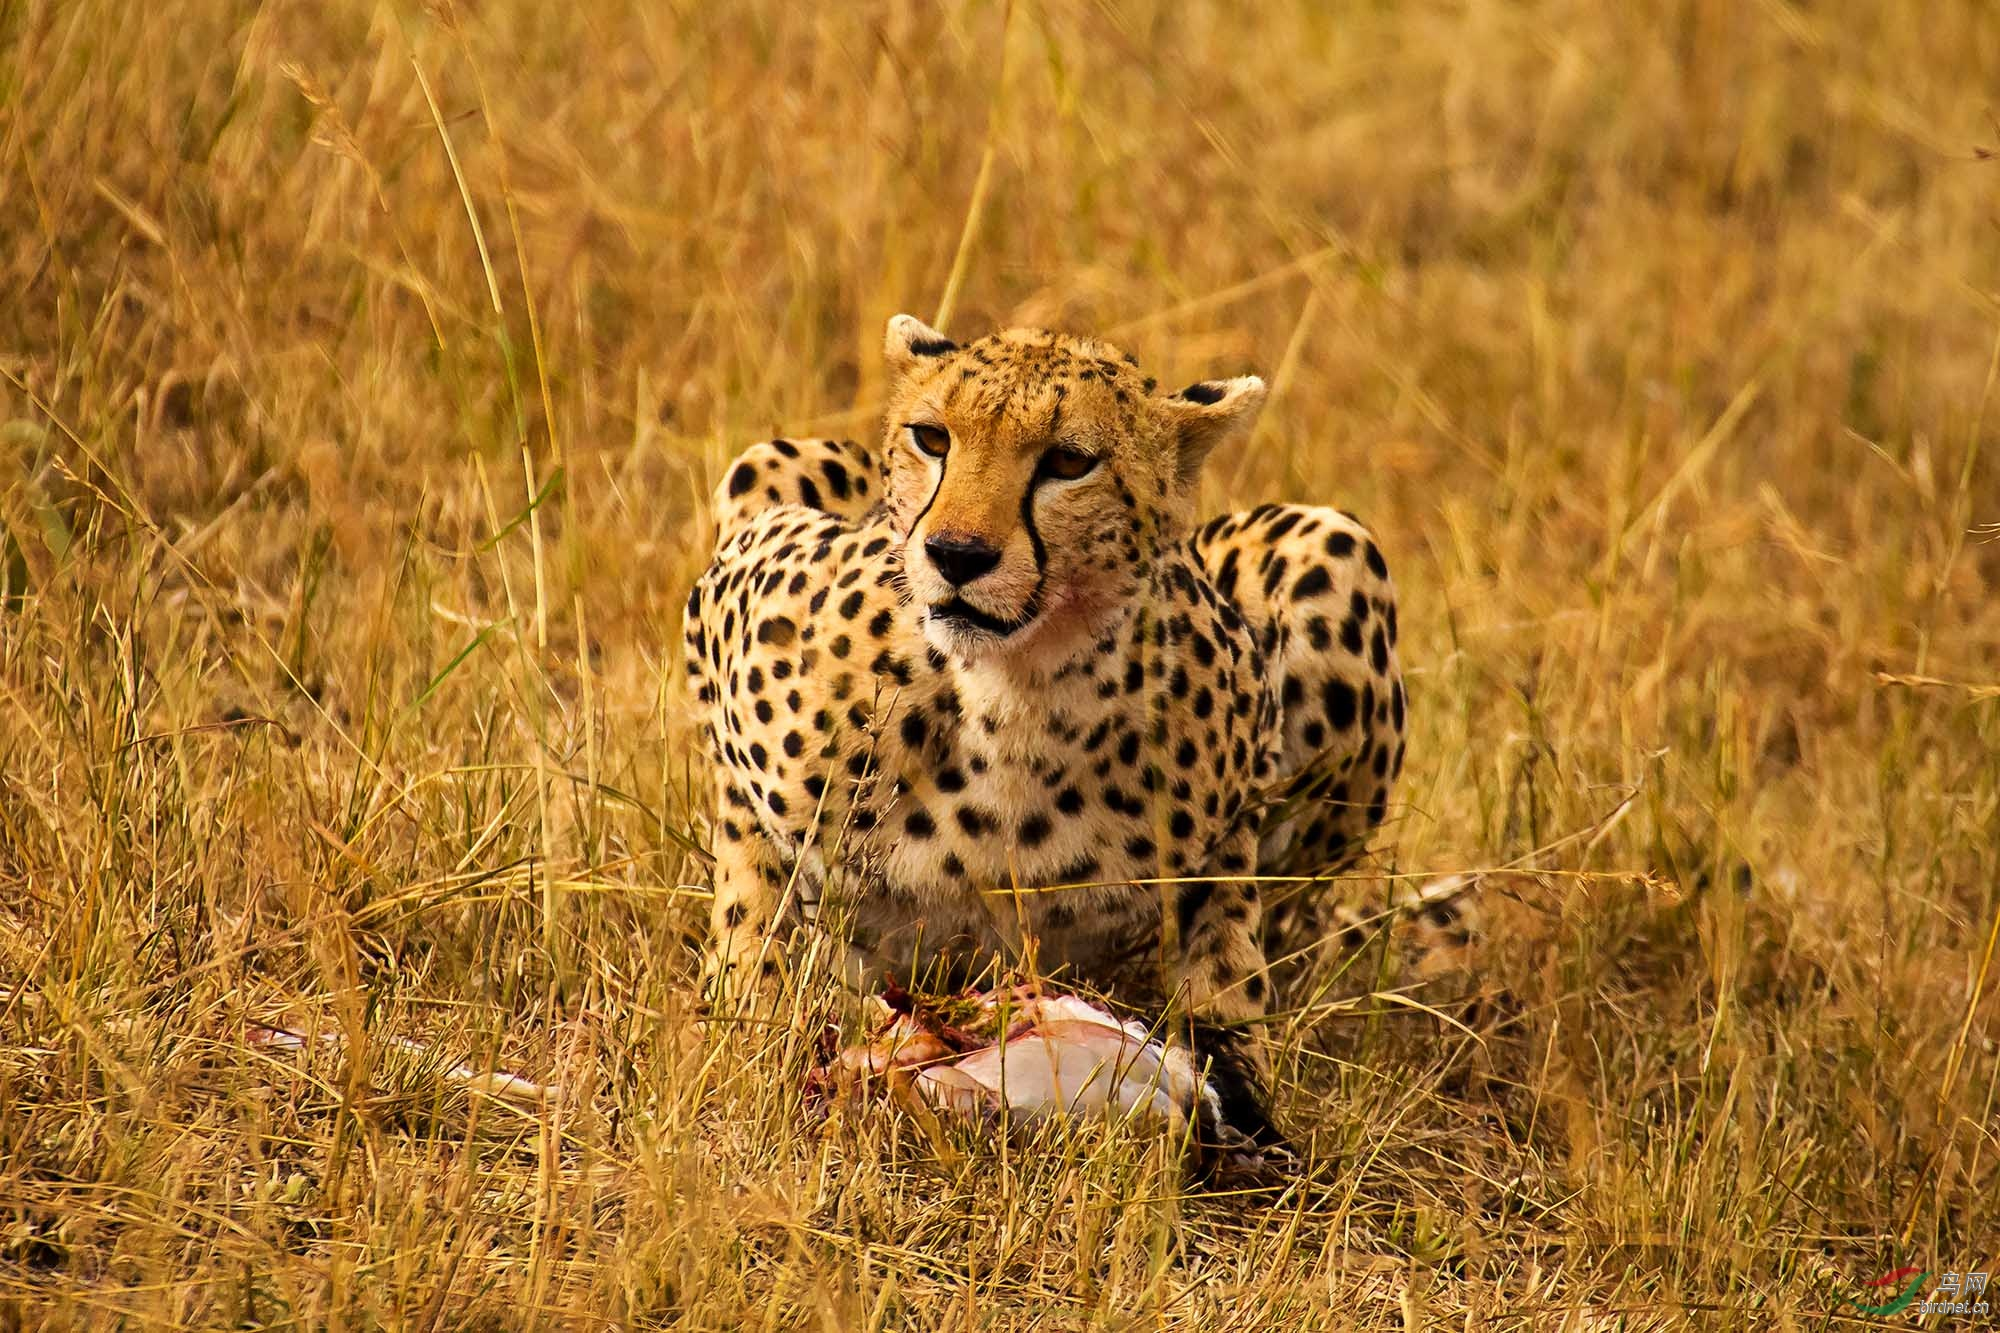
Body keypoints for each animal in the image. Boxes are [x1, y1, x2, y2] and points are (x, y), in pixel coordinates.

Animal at [688, 314, 1408, 1144]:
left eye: (1068, 461)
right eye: (932, 437)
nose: (956, 554)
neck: (1016, 694)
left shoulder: (1235, 796)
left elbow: (1227, 939)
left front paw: (1235, 1070)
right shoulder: (726, 615)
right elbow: (752, 889)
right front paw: (750, 1025)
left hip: (1338, 547)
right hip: (768, 463)